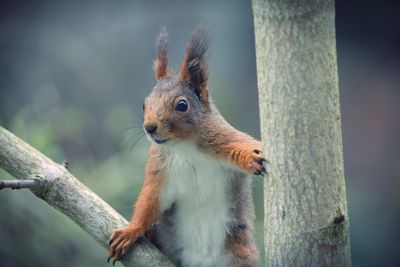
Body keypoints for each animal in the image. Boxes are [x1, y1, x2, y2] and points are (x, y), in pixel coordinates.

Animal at [108, 27, 268, 267]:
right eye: (144, 104)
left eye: (182, 105)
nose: (149, 127)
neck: (184, 147)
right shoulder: (160, 170)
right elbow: (149, 201)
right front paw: (130, 231)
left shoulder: (221, 138)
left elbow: (243, 144)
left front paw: (252, 157)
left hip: (239, 254)